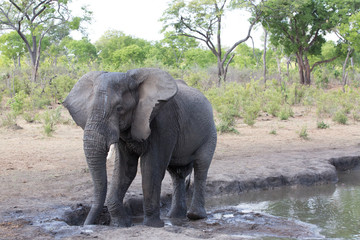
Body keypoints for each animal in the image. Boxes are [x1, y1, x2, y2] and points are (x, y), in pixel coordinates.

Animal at [62, 67, 217, 227]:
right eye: (88, 109)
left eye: (119, 109)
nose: (87, 224)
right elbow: (125, 169)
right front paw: (121, 224)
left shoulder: (164, 121)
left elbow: (151, 168)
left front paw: (153, 225)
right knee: (177, 173)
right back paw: (175, 217)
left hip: (210, 133)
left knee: (201, 166)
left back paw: (195, 216)